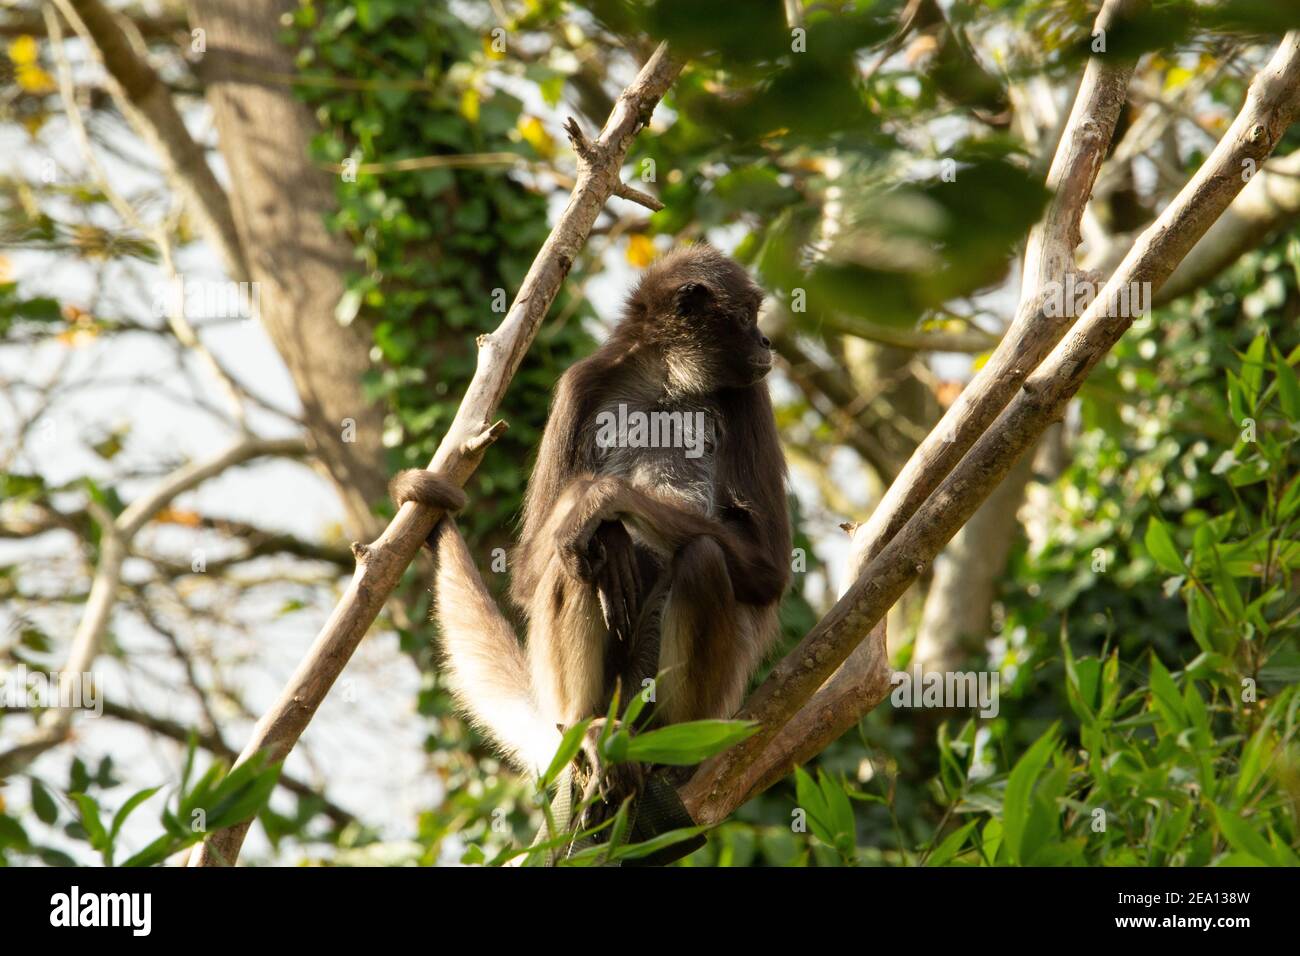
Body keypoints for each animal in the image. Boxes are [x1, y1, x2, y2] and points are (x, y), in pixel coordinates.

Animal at [390, 244, 785, 780]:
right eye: (746, 317)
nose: (766, 341)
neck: (669, 387)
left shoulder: (748, 393)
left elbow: (768, 569)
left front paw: (602, 499)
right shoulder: (582, 382)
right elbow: (530, 574)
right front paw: (601, 519)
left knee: (702, 558)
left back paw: (671, 748)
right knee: (571, 561)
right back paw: (588, 726)